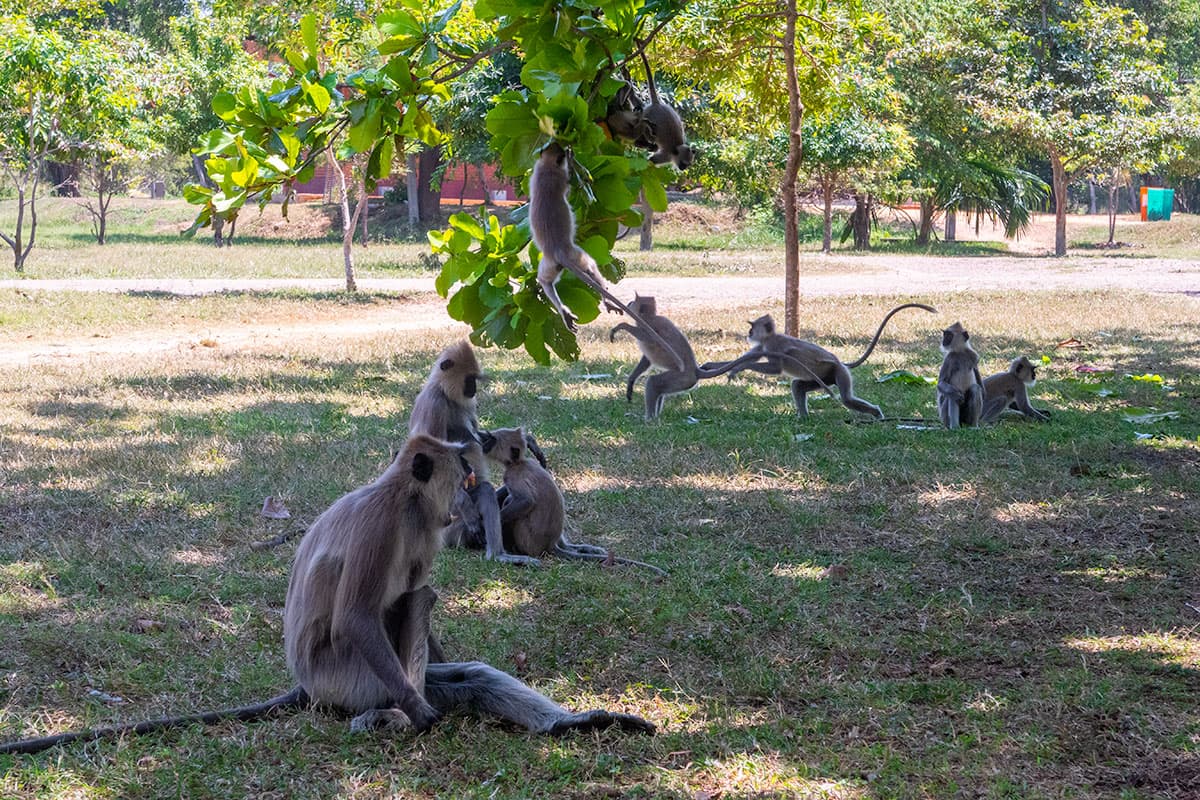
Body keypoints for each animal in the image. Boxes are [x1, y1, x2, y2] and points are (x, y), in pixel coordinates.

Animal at [412, 345, 544, 568]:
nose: (474, 388)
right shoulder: (434, 404)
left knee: (484, 490)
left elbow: (481, 439)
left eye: (475, 379)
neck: (446, 394)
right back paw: (496, 554)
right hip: (449, 515)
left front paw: (526, 439)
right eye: (469, 379)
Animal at [700, 303, 936, 422]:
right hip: (824, 377)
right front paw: (712, 366)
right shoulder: (763, 346)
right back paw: (803, 418)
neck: (769, 338)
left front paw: (738, 369)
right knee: (798, 385)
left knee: (846, 399)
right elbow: (745, 358)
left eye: (752, 327)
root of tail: (840, 362)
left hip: (838, 373)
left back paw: (876, 413)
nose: (749, 333)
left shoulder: (774, 346)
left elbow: (773, 368)